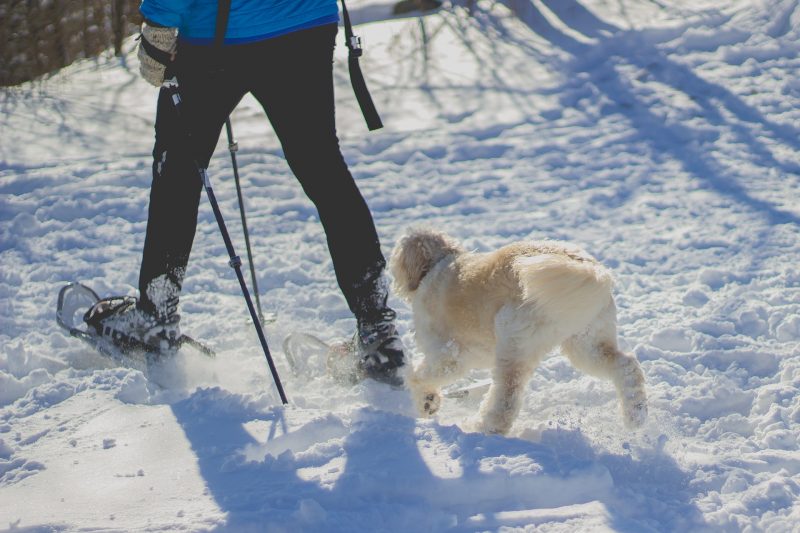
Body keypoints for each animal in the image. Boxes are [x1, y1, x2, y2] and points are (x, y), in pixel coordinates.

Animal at [390, 227, 648, 434]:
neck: (438, 264)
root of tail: (587, 268)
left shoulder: (449, 355)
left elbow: (419, 376)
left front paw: (425, 399)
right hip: (587, 343)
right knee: (626, 367)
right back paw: (636, 415)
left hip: (513, 341)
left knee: (506, 399)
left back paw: (483, 428)